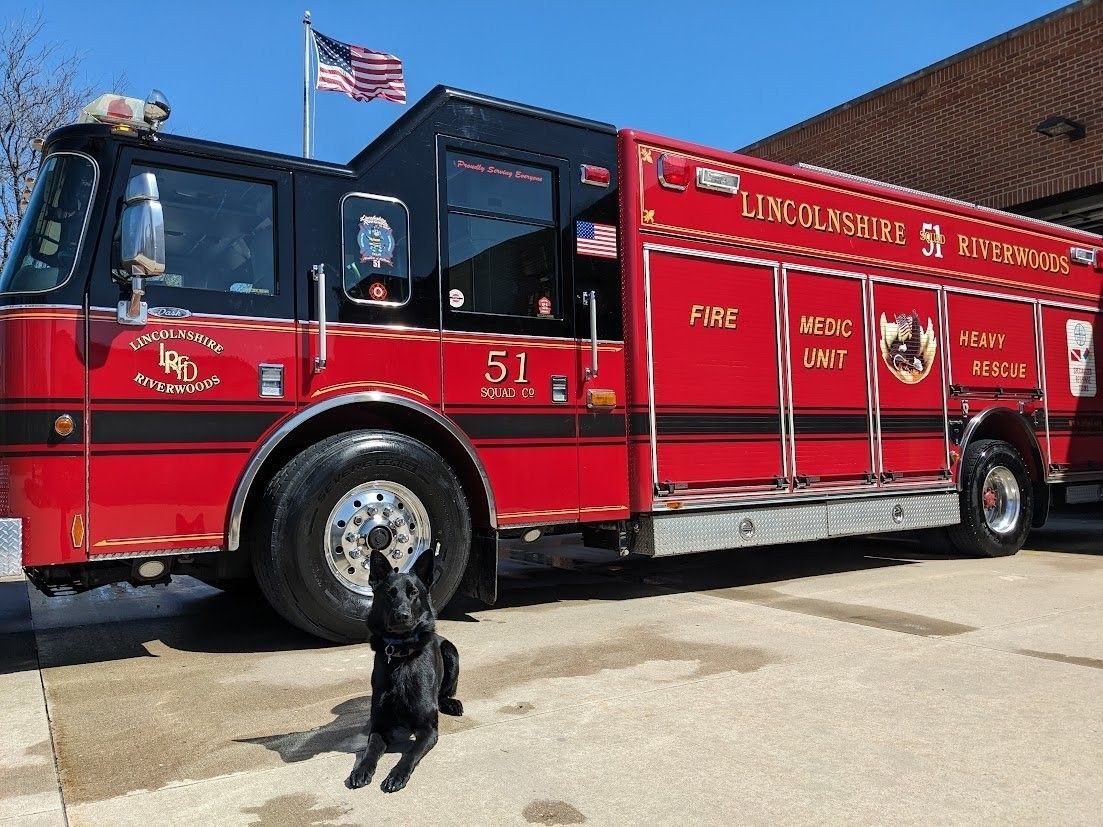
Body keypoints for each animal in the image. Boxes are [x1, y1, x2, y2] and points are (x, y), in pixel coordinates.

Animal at [348, 546, 461, 793]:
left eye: (413, 592)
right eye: (390, 593)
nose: (402, 615)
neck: (401, 653)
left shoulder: (428, 730)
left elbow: (409, 755)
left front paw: (397, 775)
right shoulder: (379, 726)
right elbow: (370, 751)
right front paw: (361, 770)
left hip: (451, 651)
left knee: (445, 693)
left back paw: (451, 703)